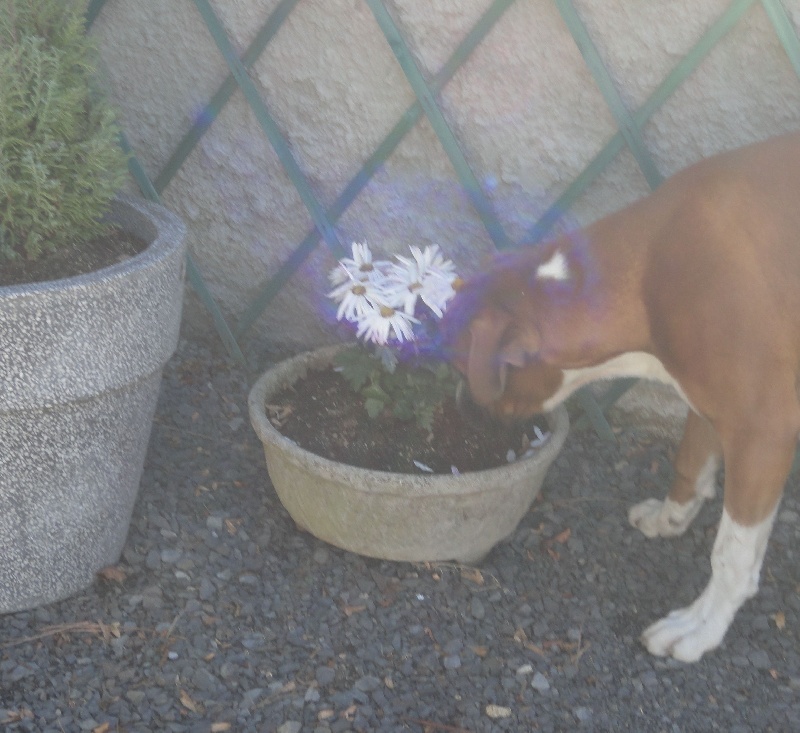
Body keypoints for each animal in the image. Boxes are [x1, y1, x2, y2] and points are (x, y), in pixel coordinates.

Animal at [440, 133, 800, 664]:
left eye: (462, 367)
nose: (462, 405)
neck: (649, 272)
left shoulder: (762, 433)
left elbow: (731, 554)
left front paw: (702, 626)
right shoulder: (709, 398)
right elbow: (689, 463)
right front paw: (672, 516)